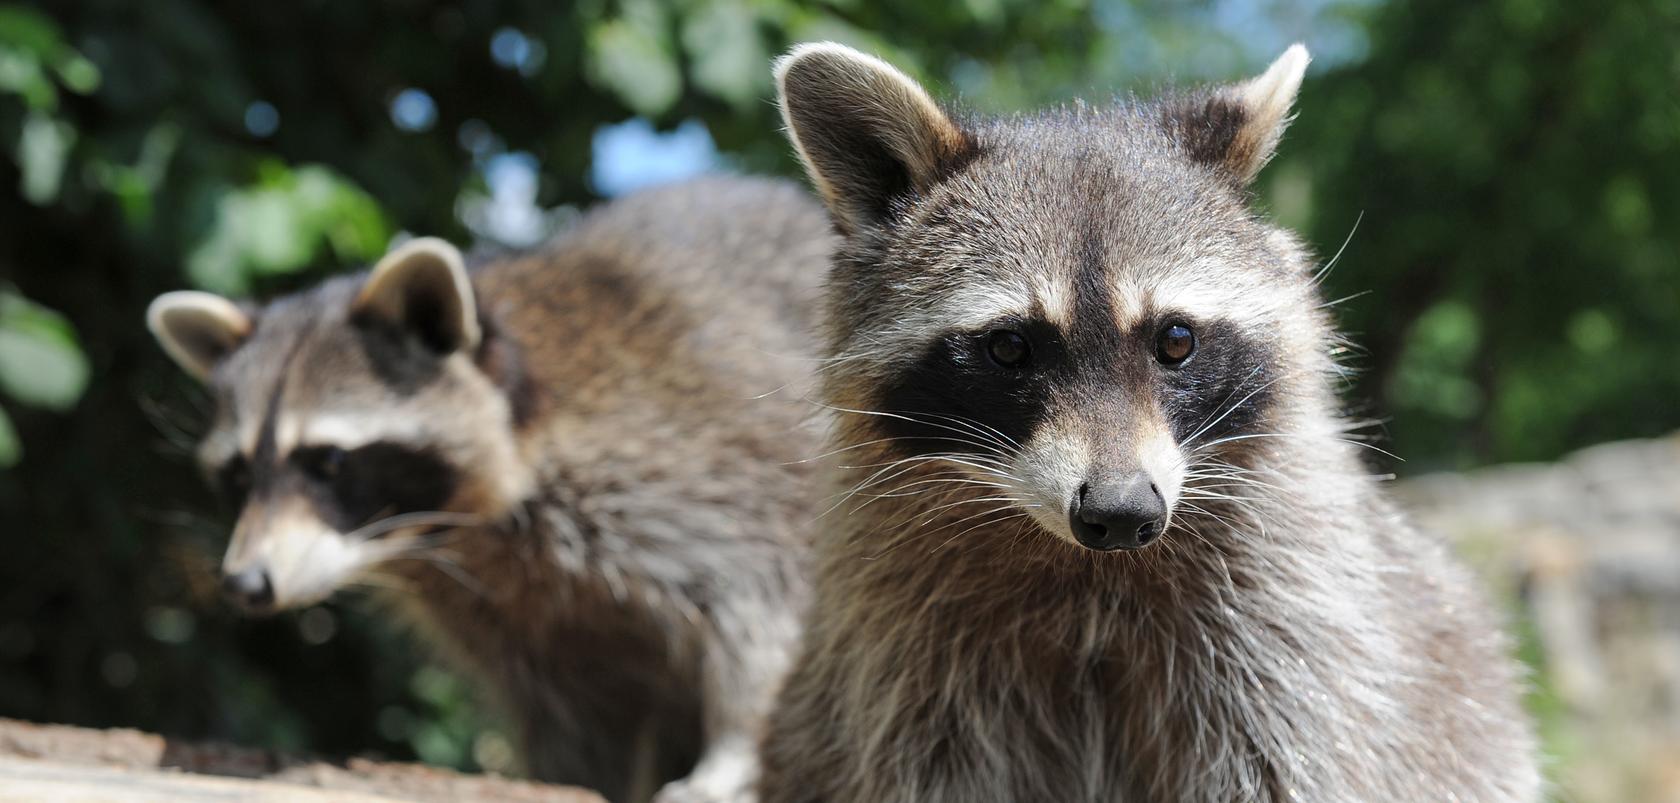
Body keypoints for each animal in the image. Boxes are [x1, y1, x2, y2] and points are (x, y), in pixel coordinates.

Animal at [147, 175, 829, 803]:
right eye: (239, 474)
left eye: (330, 462)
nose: (245, 584)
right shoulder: (505, 615)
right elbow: (568, 713)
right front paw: (572, 779)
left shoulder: (708, 467)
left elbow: (761, 605)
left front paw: (734, 752)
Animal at [756, 45, 1538, 803]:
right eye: (1008, 347)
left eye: (1176, 340)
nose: (1122, 512)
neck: (1085, 569)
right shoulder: (902, 648)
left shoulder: (1292, 613)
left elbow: (1292, 755)